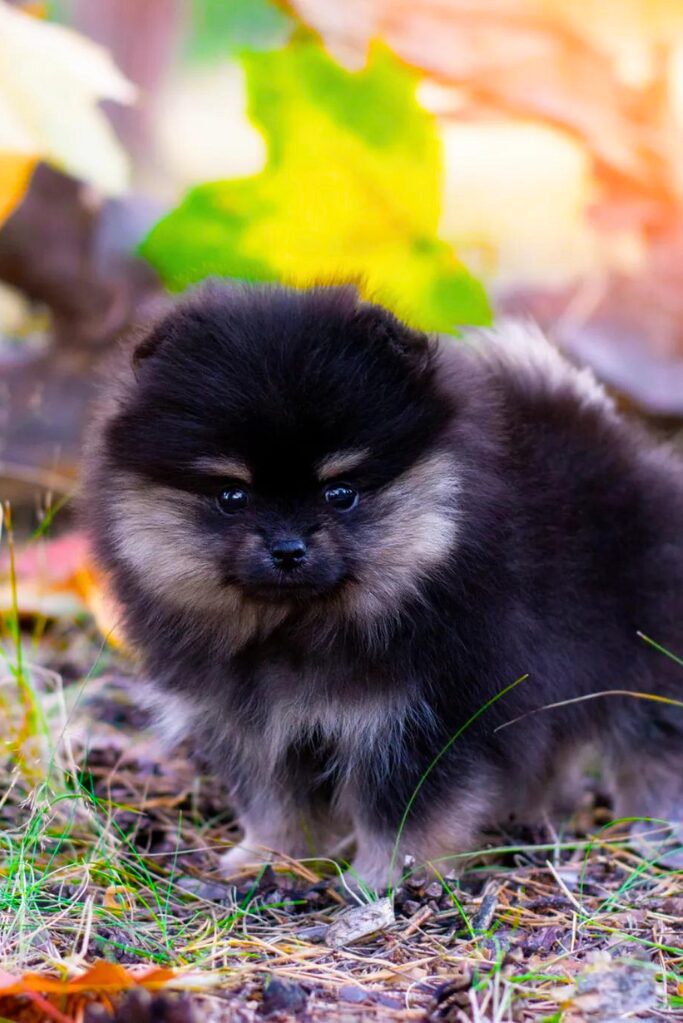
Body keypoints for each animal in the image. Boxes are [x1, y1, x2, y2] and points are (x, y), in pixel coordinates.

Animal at [82, 280, 683, 887]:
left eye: (340, 493)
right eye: (232, 496)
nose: (288, 549)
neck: (299, 629)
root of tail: (608, 438)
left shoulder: (418, 717)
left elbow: (404, 812)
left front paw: (384, 879)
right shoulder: (248, 720)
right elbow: (274, 800)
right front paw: (267, 859)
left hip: (647, 653)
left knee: (652, 742)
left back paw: (653, 825)